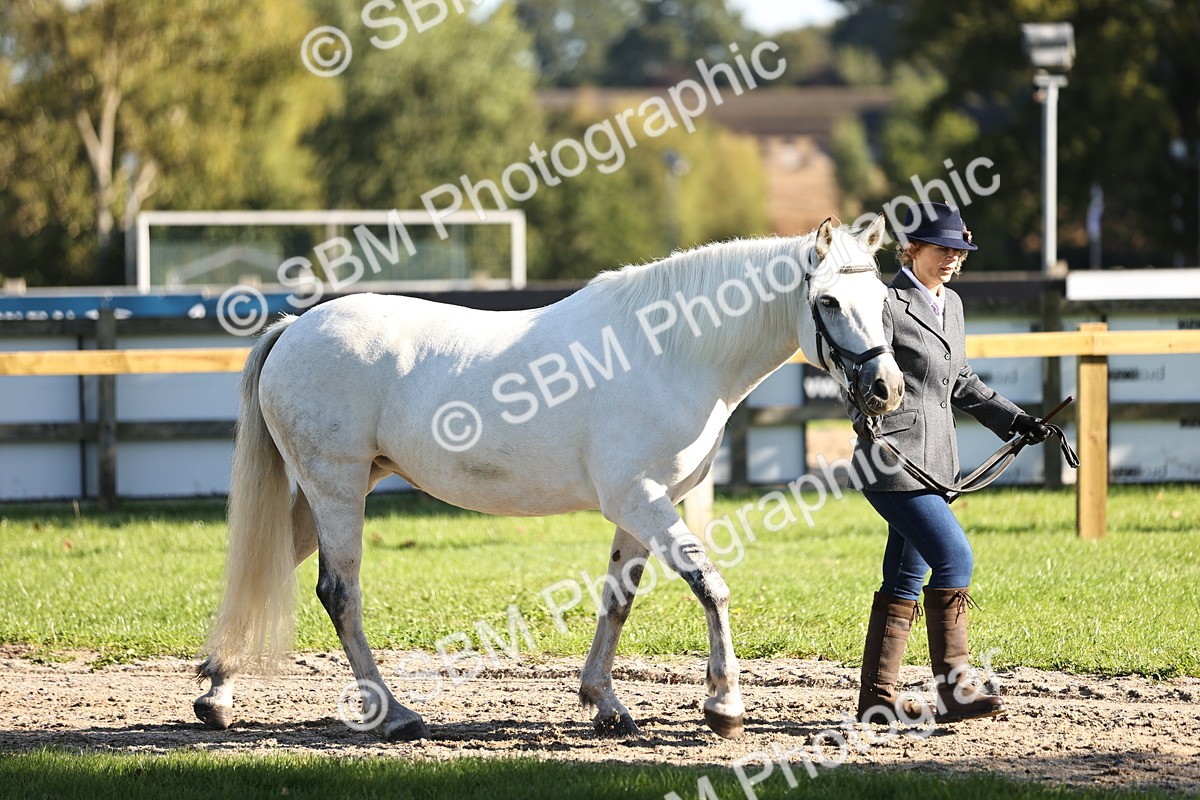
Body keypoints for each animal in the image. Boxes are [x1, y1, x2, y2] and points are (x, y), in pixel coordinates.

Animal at [193, 215, 904, 741]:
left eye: (883, 300)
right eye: (829, 300)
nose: (886, 388)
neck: (671, 350)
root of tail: (294, 328)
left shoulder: (642, 507)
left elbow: (618, 598)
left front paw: (605, 703)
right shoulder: (640, 499)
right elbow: (710, 584)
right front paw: (723, 707)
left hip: (335, 489)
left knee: (267, 565)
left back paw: (218, 693)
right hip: (337, 487)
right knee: (339, 592)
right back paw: (393, 714)